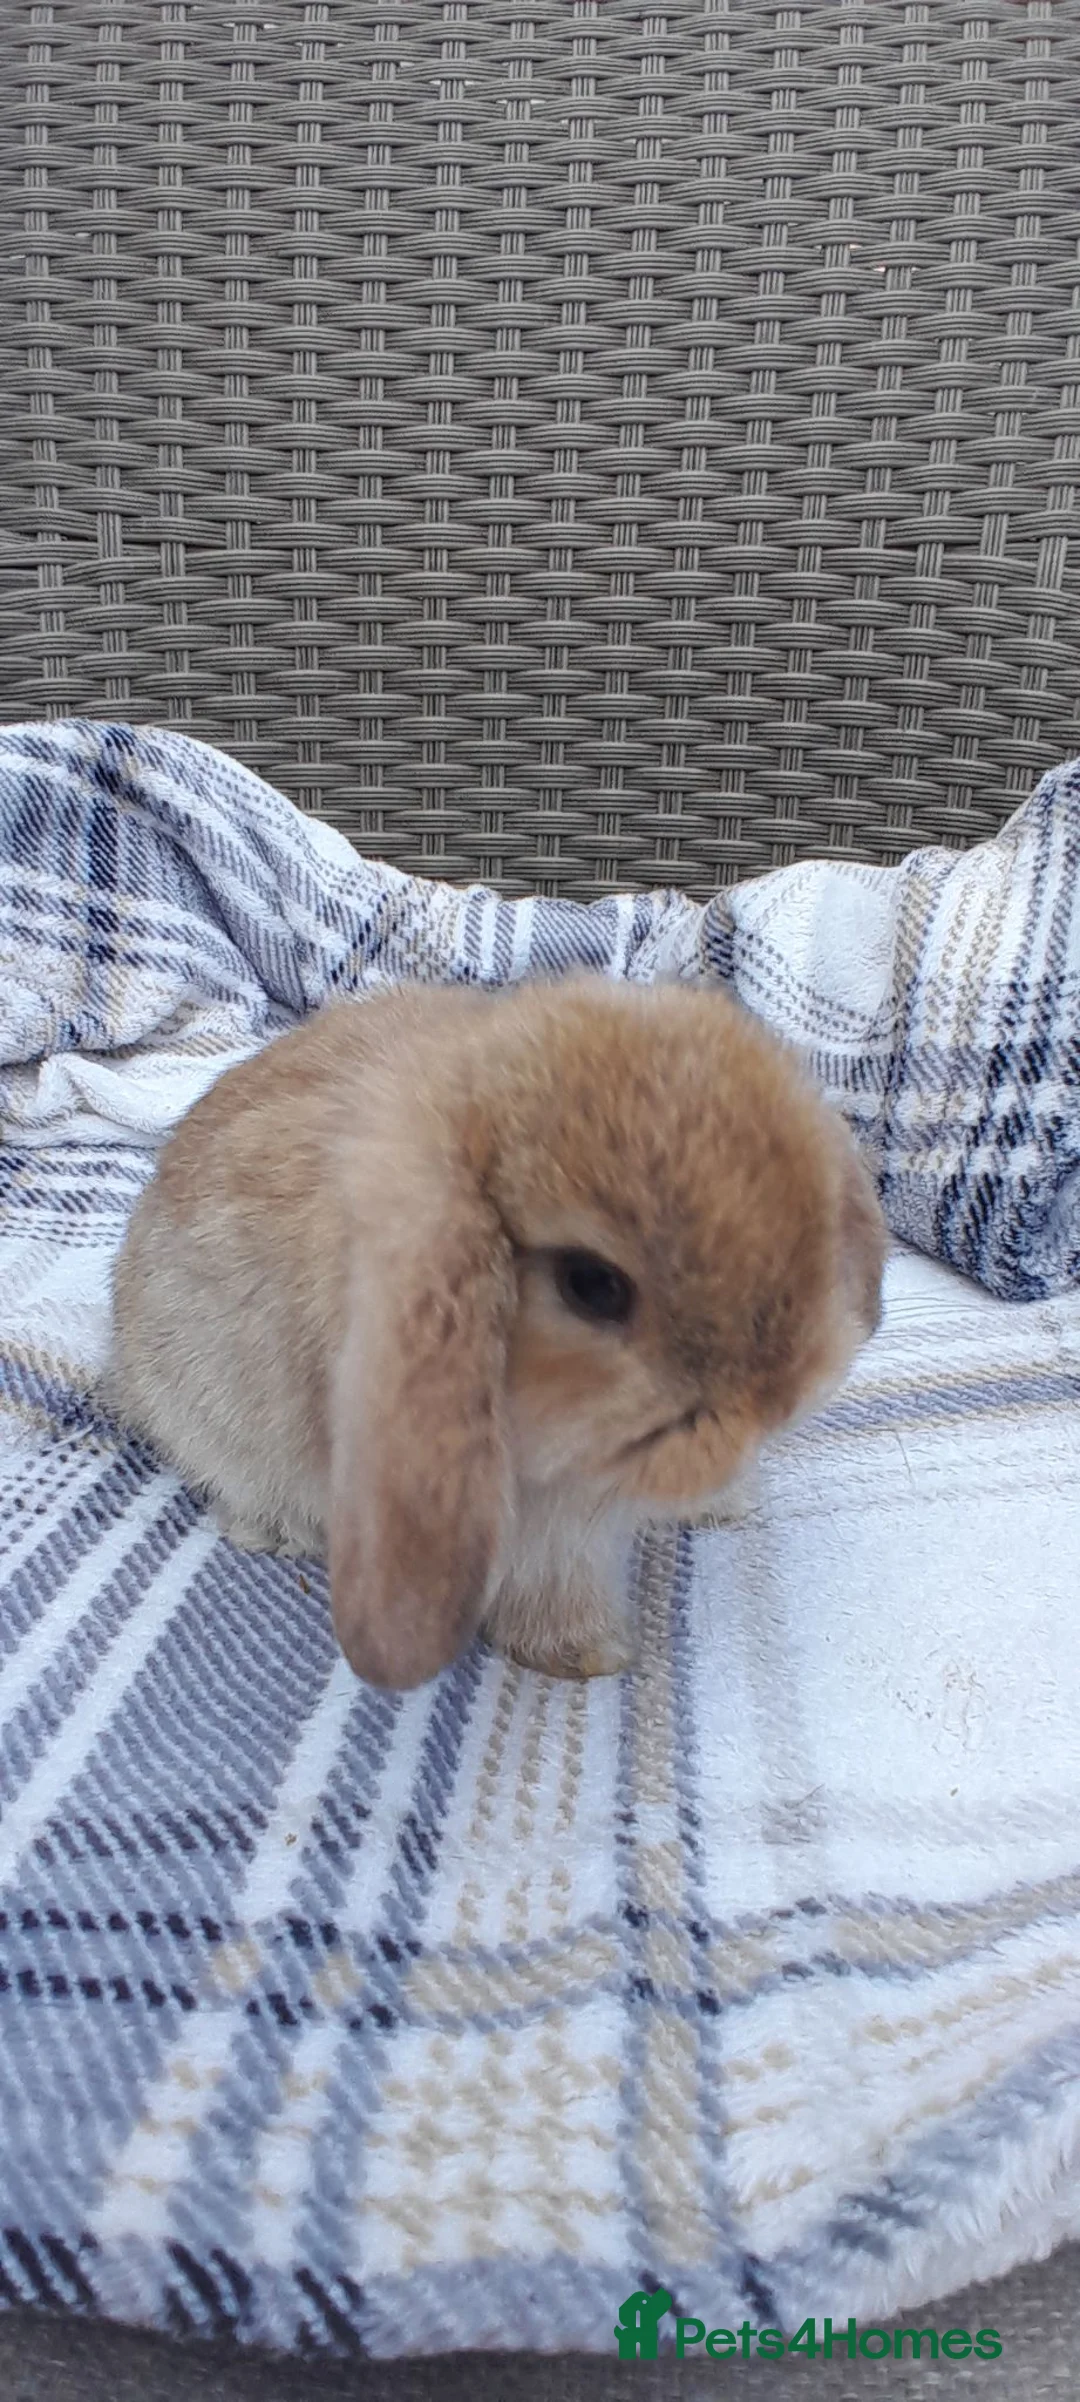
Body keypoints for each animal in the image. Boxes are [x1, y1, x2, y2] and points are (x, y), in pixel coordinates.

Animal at [106, 974, 886, 1690]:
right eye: (592, 1285)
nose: (777, 1402)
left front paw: (727, 1504)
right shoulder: (533, 1520)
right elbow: (551, 1579)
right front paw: (587, 1656)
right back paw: (279, 1530)